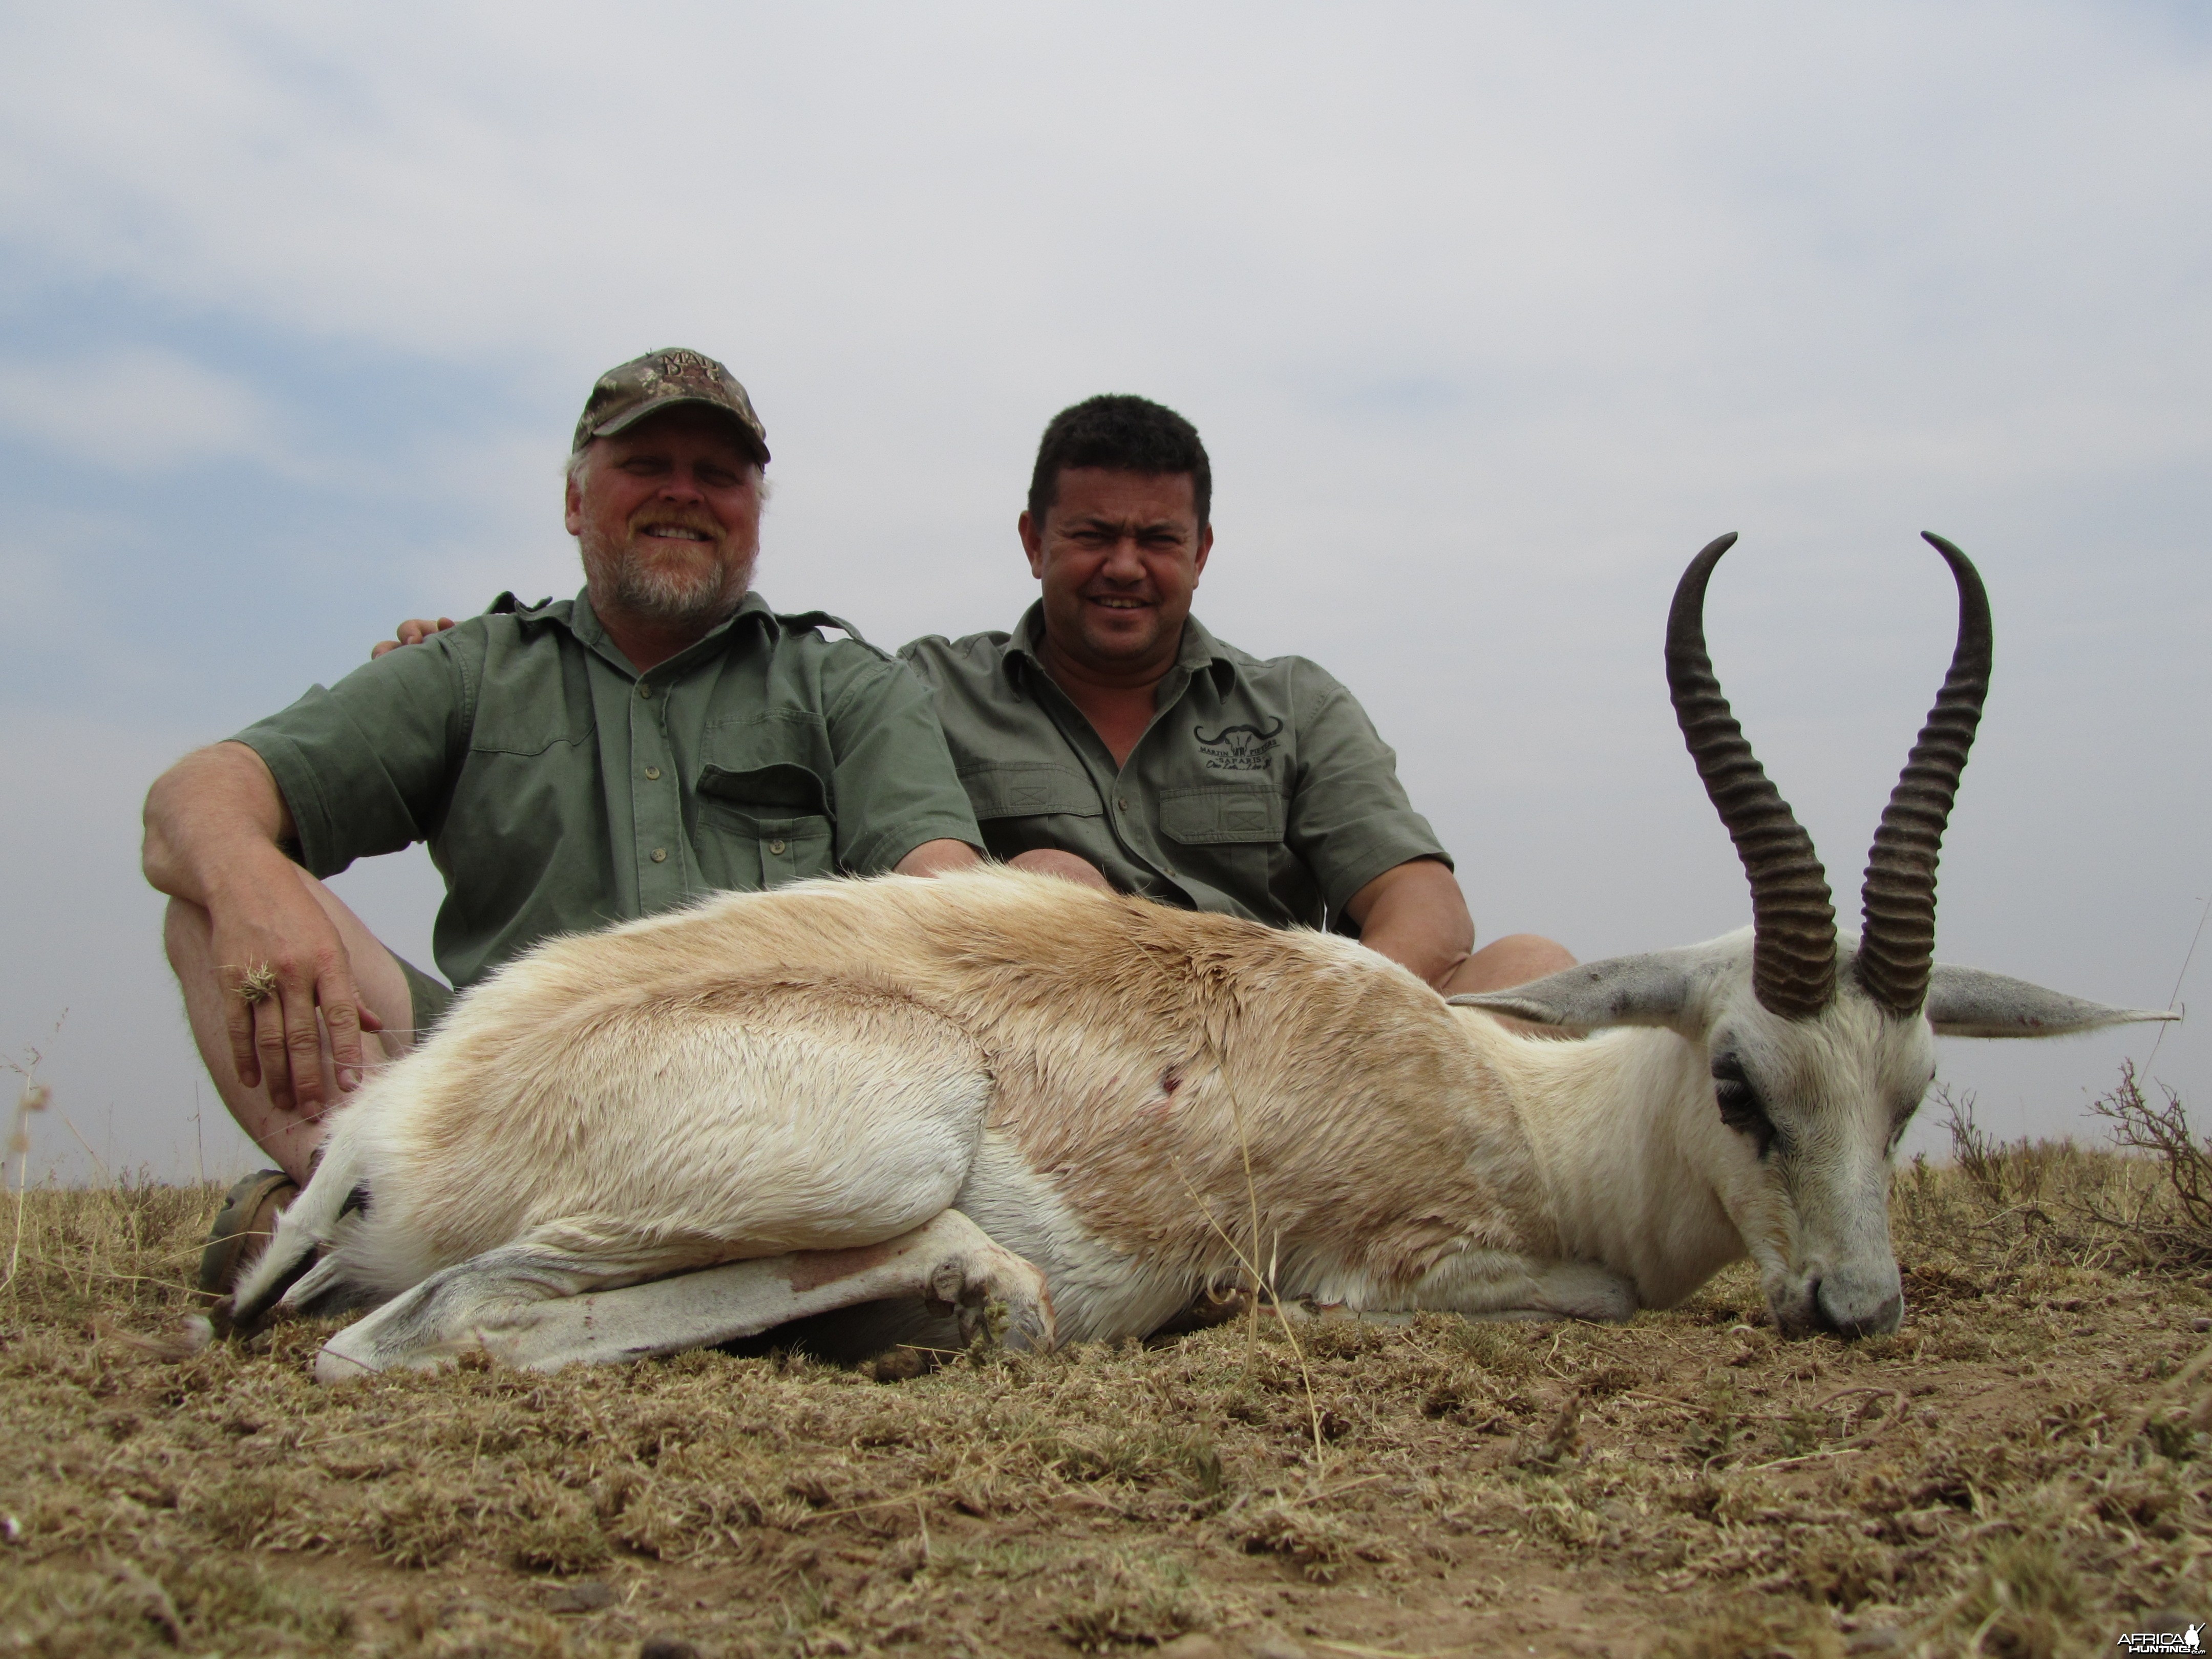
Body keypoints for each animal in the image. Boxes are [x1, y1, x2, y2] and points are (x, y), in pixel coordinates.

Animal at [233, 533, 2167, 1380]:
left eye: (1909, 1096)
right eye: (1743, 1083)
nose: (1856, 1309)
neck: (1524, 1108)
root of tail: (377, 1139)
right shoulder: (1398, 1270)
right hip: (876, 1143)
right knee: (417, 1331)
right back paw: (968, 1296)